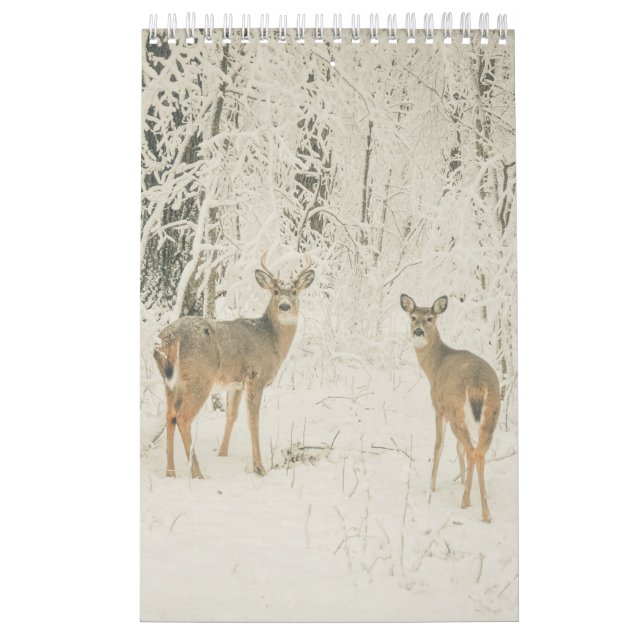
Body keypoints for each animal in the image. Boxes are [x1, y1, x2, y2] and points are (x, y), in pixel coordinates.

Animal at [153, 253, 315, 479]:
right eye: (275, 291)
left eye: (294, 291)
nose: (284, 306)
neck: (271, 341)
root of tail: (168, 338)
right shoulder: (256, 376)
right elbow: (253, 420)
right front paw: (260, 467)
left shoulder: (236, 382)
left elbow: (231, 415)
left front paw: (222, 453)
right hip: (199, 378)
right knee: (183, 418)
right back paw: (197, 473)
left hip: (169, 381)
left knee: (170, 415)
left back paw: (171, 472)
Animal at [400, 294, 501, 522]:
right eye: (412, 317)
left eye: (429, 318)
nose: (417, 331)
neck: (434, 366)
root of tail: (477, 383)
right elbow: (457, 448)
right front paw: (462, 481)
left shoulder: (438, 406)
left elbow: (439, 445)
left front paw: (432, 487)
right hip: (491, 414)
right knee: (478, 452)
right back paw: (485, 512)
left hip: (455, 410)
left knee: (472, 450)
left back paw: (466, 502)